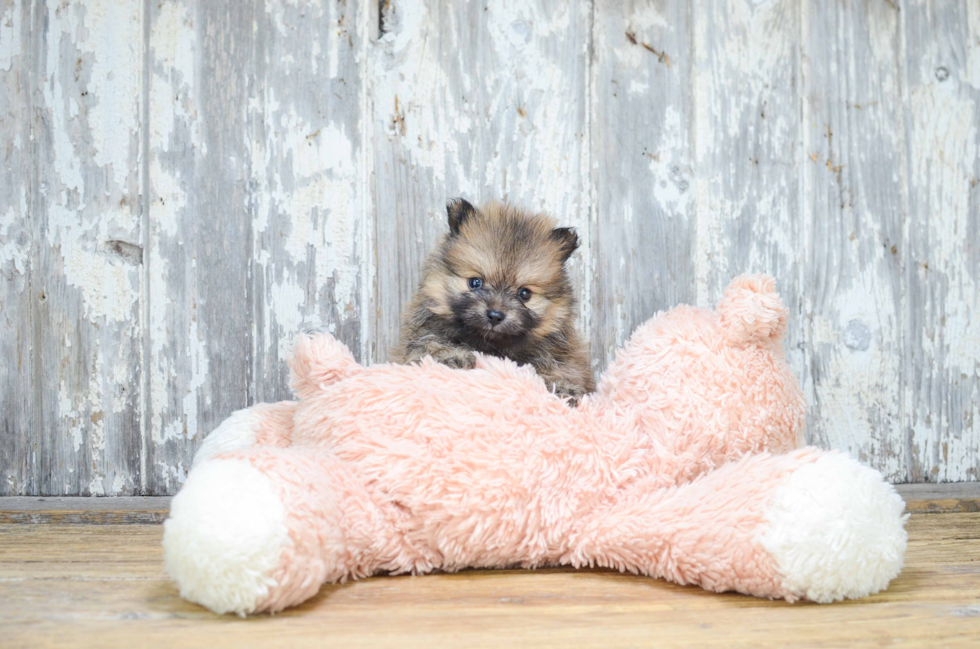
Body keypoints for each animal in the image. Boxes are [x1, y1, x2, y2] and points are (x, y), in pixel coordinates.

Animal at [392, 197, 592, 402]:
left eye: (524, 294)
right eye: (475, 282)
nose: (495, 315)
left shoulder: (563, 354)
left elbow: (562, 368)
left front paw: (564, 388)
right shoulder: (419, 337)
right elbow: (429, 345)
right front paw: (451, 355)